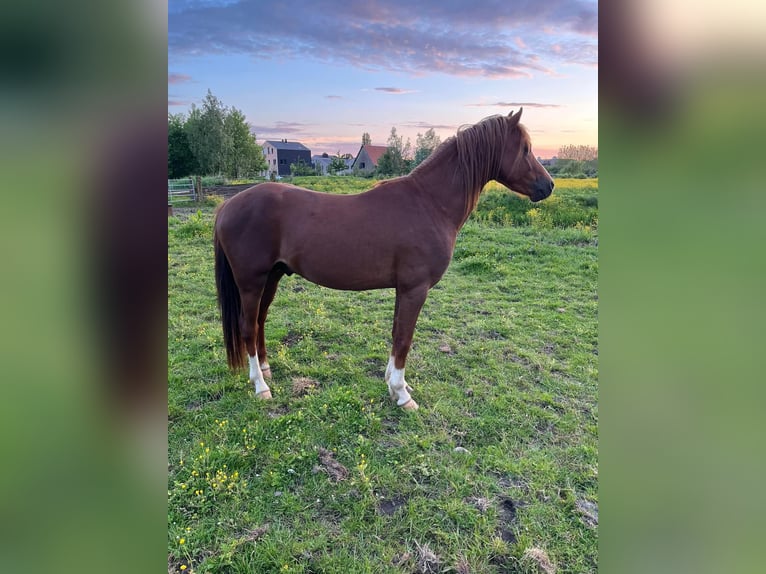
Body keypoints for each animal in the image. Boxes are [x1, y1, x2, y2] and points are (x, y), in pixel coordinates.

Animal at [213, 109, 556, 410]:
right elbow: (404, 339)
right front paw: (402, 395)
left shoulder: (403, 289)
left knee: (259, 322)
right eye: (525, 149)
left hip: (271, 277)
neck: (430, 203)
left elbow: (395, 335)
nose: (548, 185)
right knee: (247, 327)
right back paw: (261, 386)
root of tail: (228, 205)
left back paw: (266, 371)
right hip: (251, 282)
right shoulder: (415, 289)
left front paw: (394, 384)